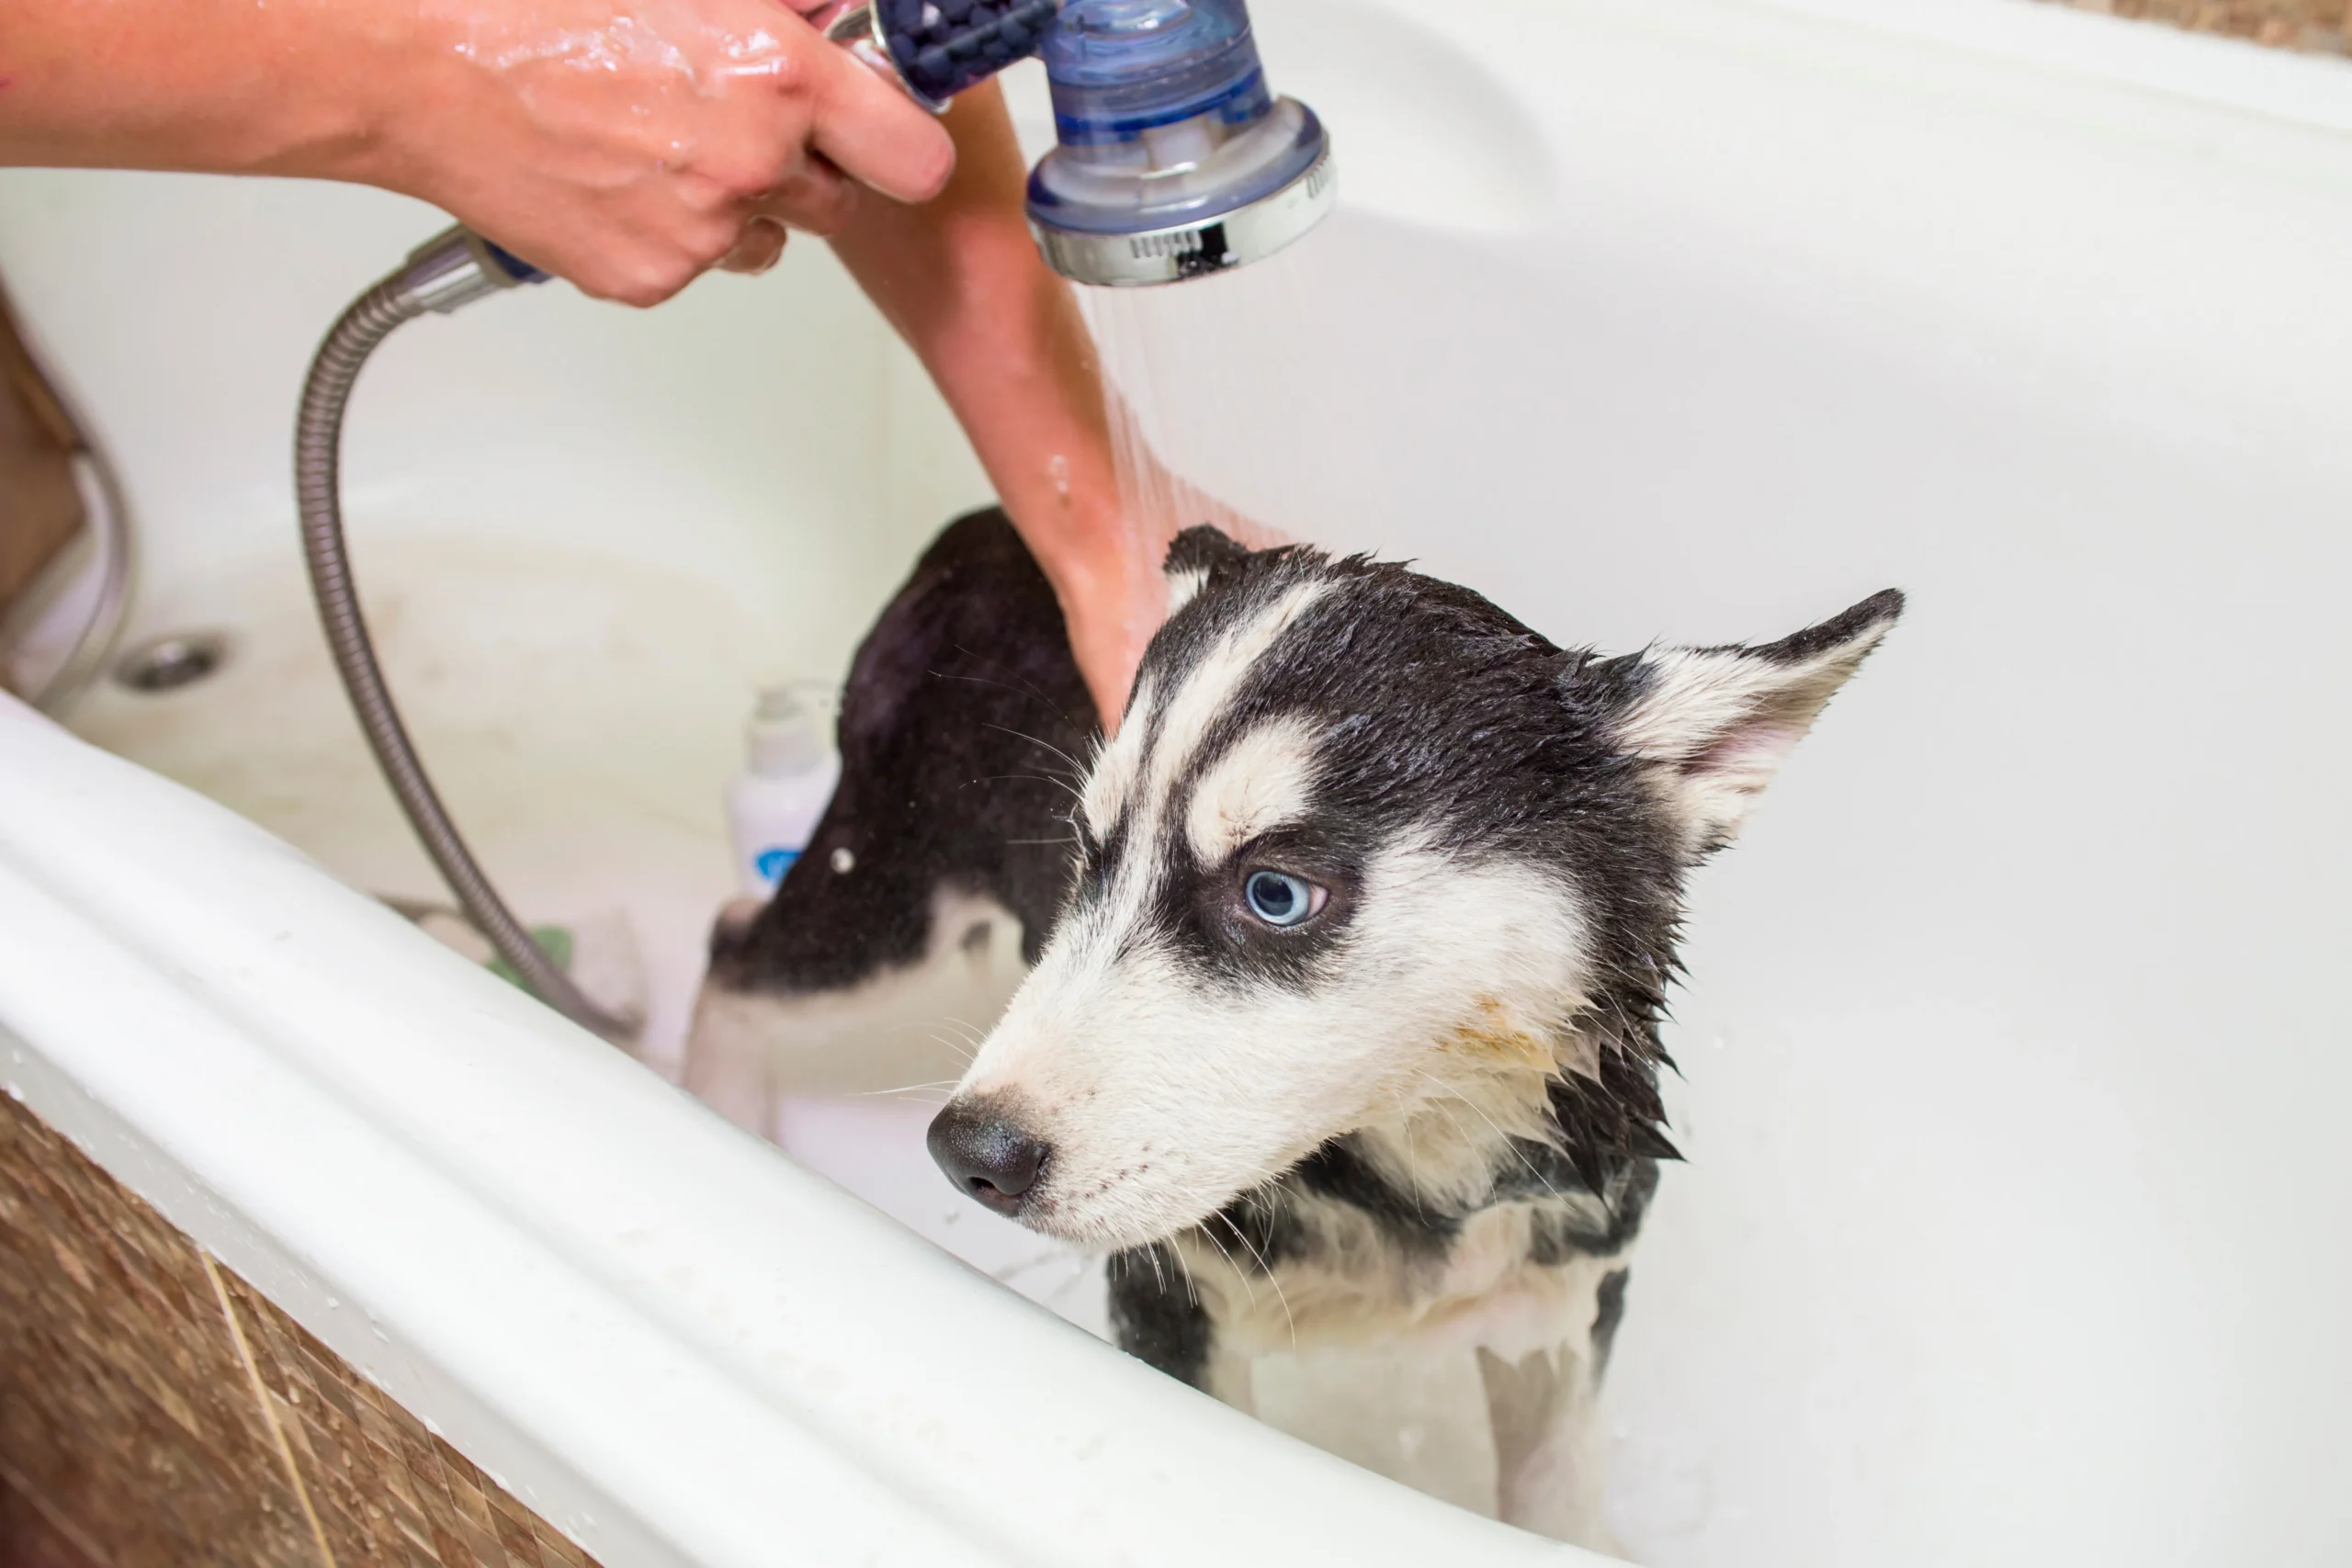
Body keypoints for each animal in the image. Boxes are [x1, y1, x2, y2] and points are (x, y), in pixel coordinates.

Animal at [686, 512, 1891, 1541]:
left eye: (1273, 894)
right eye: (1088, 853)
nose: (969, 1152)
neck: (1409, 1172)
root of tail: (975, 525)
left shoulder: (1564, 1291)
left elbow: (1557, 1497)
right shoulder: (1169, 1306)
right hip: (894, 896)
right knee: (735, 946)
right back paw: (713, 1101)